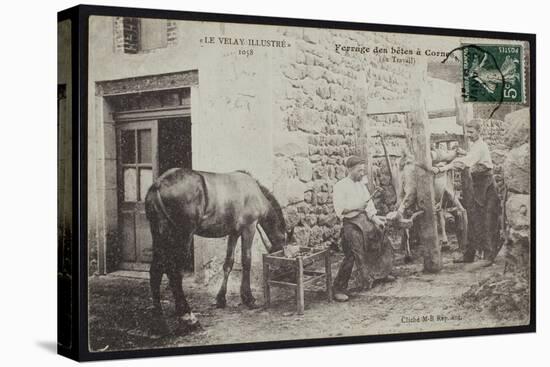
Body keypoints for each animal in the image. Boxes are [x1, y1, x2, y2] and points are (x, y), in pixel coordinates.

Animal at [146, 168, 294, 334]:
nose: (289, 276)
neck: (255, 192)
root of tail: (159, 184)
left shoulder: (234, 232)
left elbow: (228, 263)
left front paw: (221, 299)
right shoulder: (249, 228)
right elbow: (246, 260)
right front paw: (248, 298)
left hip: (159, 237)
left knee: (156, 272)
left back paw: (160, 323)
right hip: (182, 237)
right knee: (174, 273)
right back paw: (189, 318)